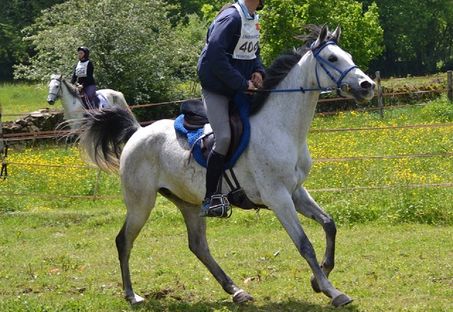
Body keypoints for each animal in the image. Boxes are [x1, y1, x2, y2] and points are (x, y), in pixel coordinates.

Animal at [77, 25, 374, 308]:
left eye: (349, 56)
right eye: (333, 58)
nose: (367, 85)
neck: (281, 128)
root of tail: (137, 132)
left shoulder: (296, 192)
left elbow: (329, 224)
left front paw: (320, 276)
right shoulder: (277, 197)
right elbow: (304, 244)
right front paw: (332, 290)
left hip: (190, 202)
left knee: (198, 246)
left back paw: (236, 291)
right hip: (141, 204)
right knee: (124, 241)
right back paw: (132, 295)